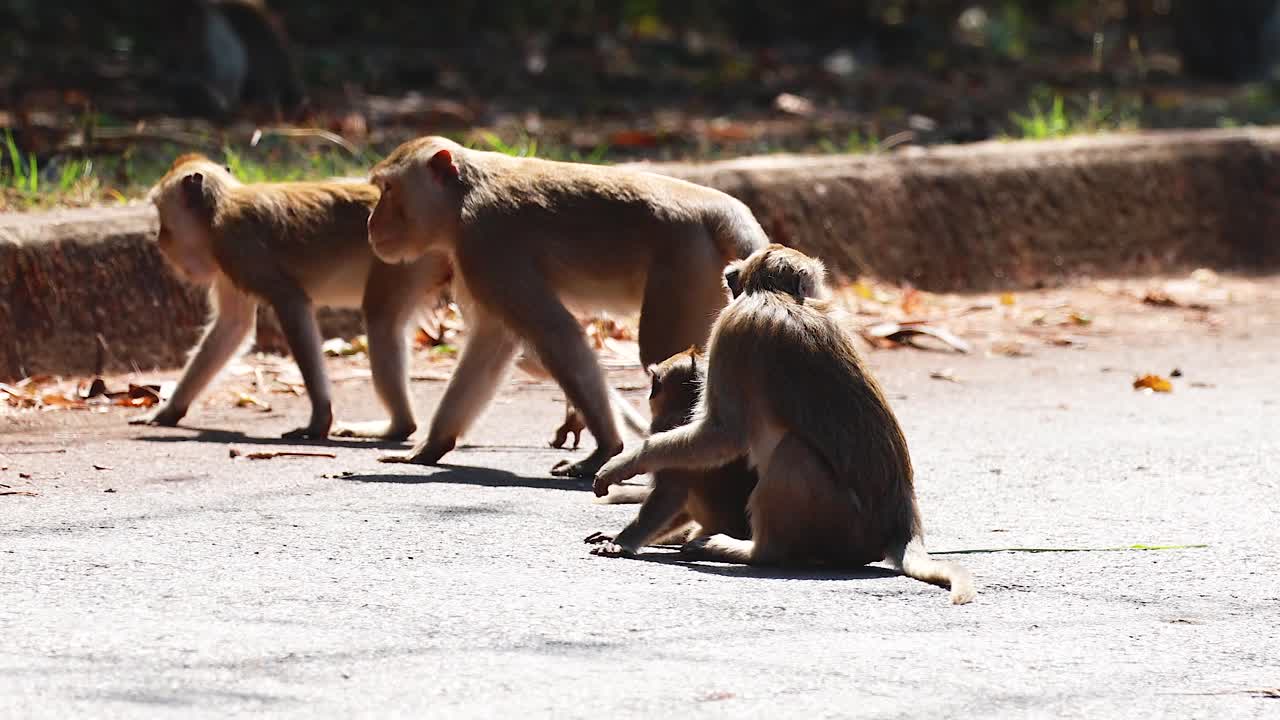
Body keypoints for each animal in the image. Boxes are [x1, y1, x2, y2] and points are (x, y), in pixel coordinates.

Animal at [130, 153, 446, 440]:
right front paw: (168, 411)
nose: (159, 239)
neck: (217, 215)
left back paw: (398, 427)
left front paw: (319, 420)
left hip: (404, 260)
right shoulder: (228, 265)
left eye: (161, 214)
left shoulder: (238, 248)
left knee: (380, 320)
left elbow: (291, 303)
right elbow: (232, 327)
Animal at [366, 135, 770, 477]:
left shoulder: (484, 245)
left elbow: (553, 332)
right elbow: (492, 343)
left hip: (683, 266)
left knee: (660, 352)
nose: (371, 222)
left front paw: (606, 449)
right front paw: (431, 447)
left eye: (388, 189)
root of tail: (722, 209)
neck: (461, 198)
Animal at [585, 347, 757, 556]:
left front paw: (621, 542)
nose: (649, 394)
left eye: (655, 382)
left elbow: (670, 493)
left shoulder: (664, 424)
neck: (687, 406)